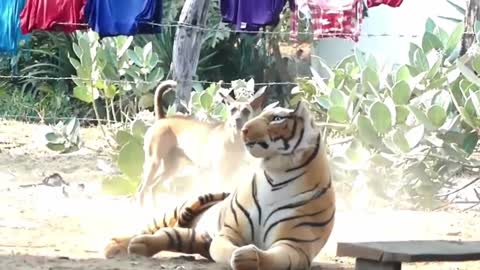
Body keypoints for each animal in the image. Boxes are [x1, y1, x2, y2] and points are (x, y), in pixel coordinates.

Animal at [135, 80, 268, 207]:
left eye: (246, 111)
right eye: (232, 110)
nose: (237, 120)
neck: (233, 139)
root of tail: (162, 119)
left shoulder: (231, 174)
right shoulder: (220, 174)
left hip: (171, 167)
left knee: (153, 187)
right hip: (154, 162)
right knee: (142, 190)